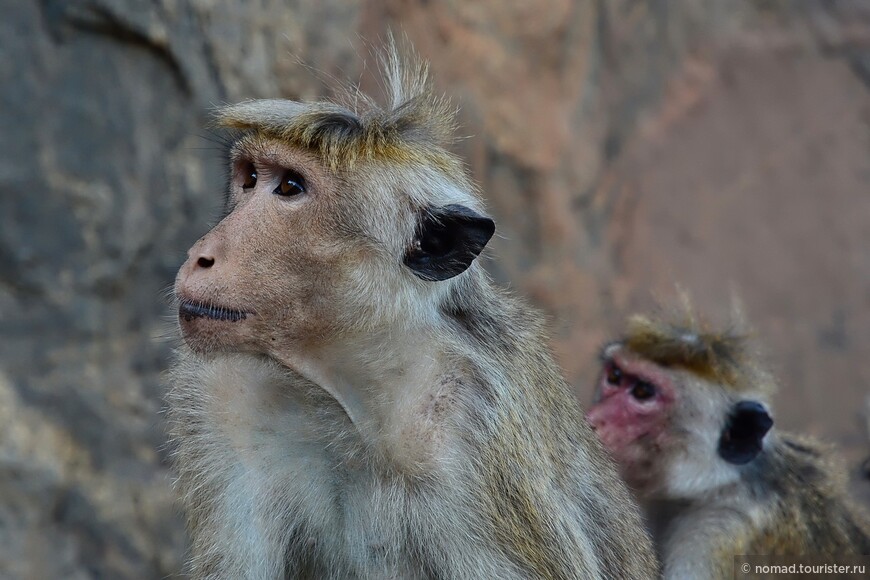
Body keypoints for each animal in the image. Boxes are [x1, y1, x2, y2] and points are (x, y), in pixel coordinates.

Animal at [164, 43, 656, 576]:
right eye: (251, 178)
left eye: (291, 187)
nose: (201, 255)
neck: (355, 389)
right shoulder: (225, 396)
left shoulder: (476, 439)